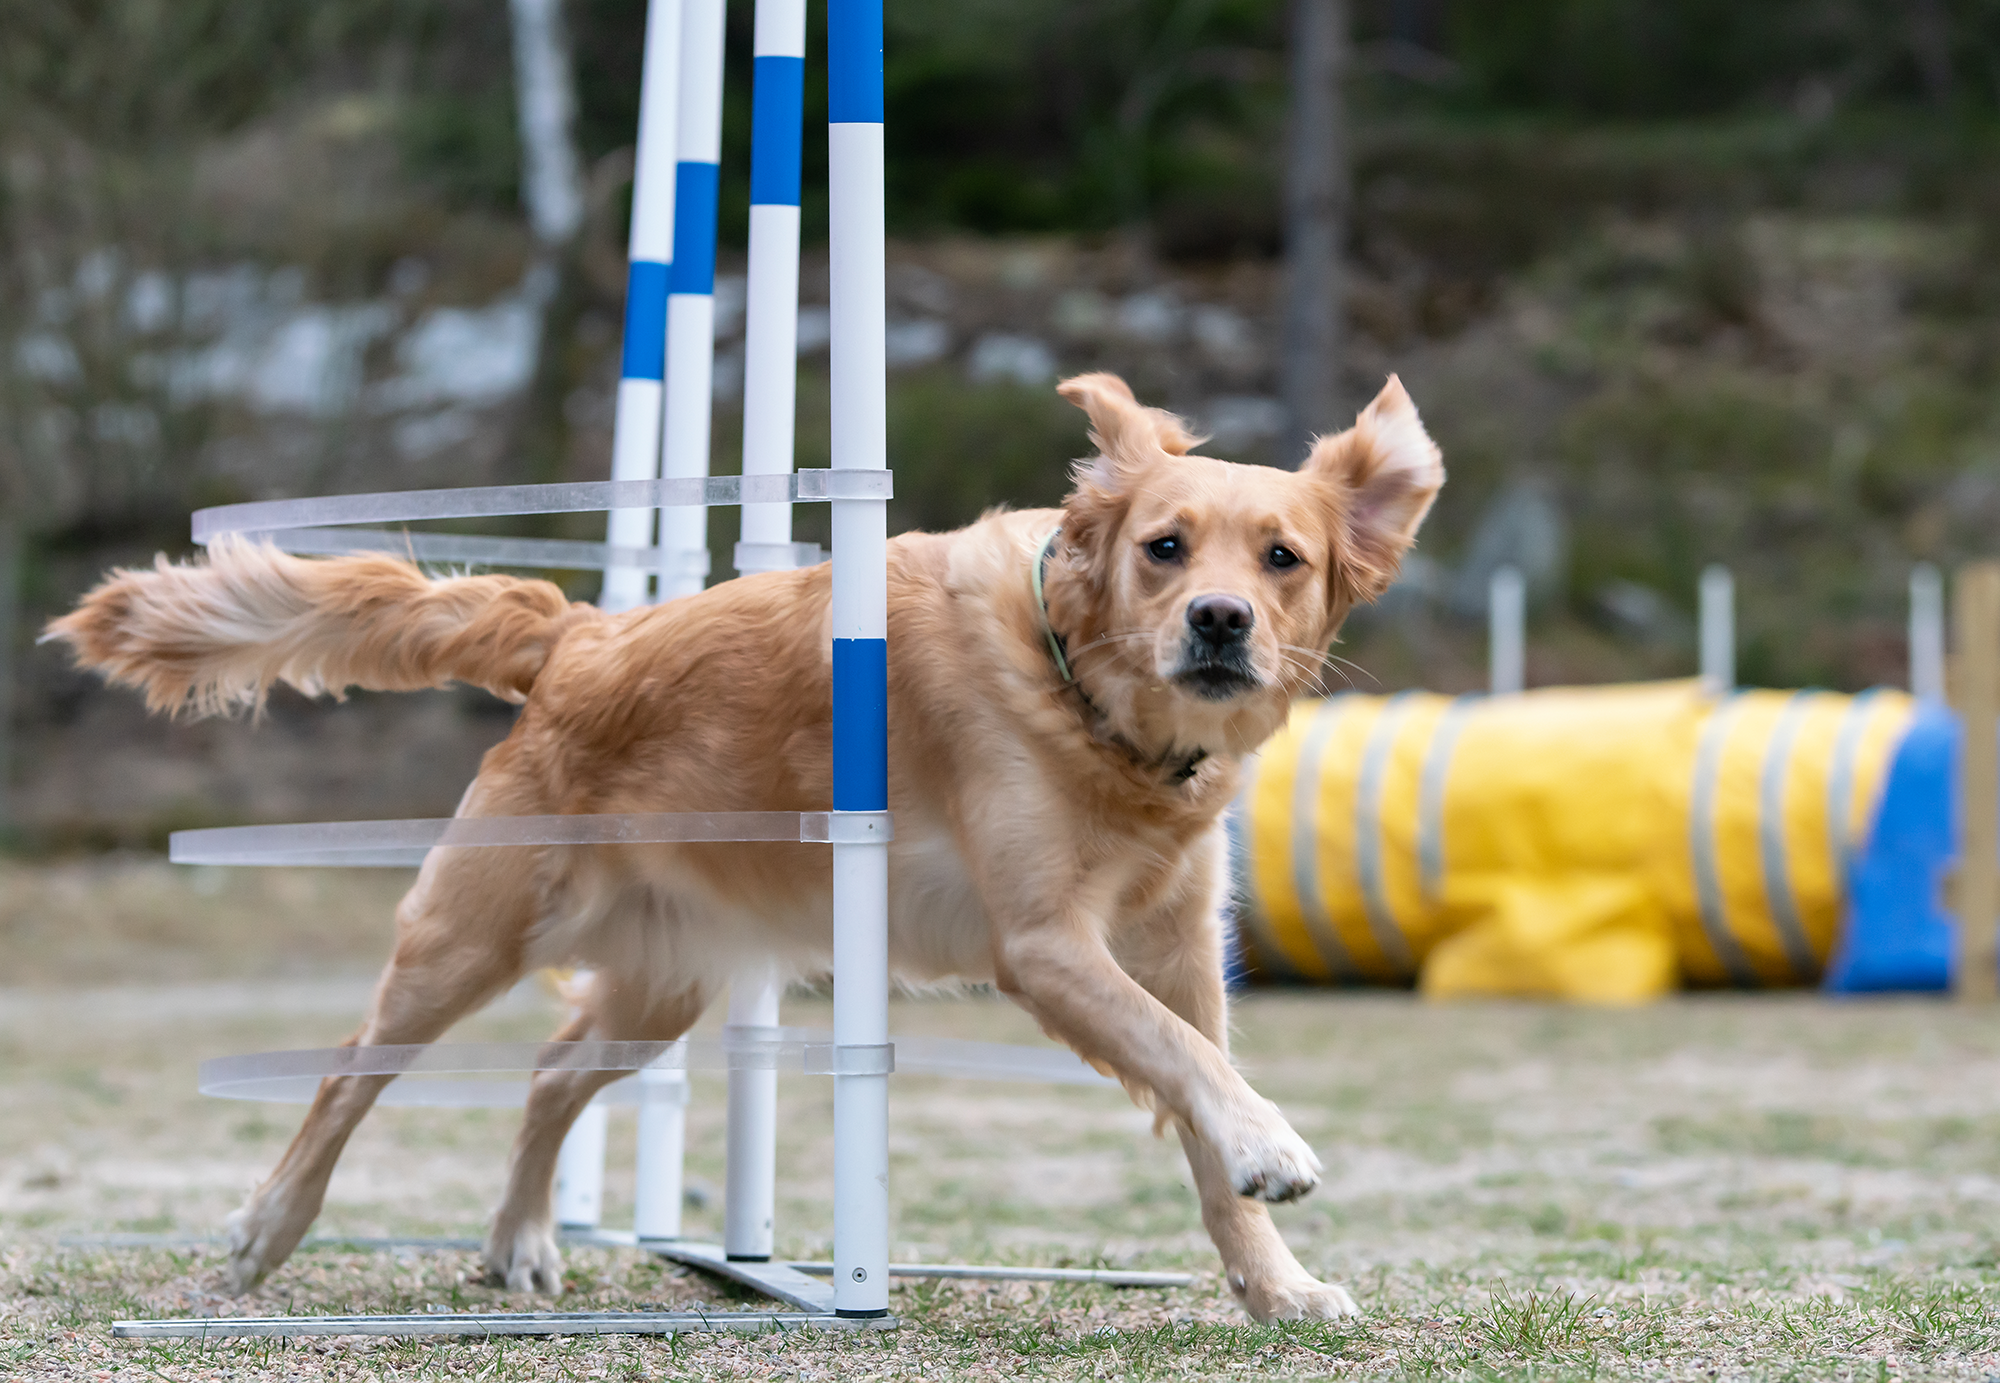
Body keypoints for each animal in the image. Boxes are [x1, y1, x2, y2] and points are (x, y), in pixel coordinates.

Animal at [47, 373, 1440, 1327]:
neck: (1092, 711)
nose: (1218, 621)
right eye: (1163, 547)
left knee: (552, 1071)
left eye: (1281, 558)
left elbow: (1199, 1091)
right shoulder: (1046, 946)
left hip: (662, 984)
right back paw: (268, 1231)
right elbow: (1188, 1069)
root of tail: (580, 640)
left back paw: (523, 1239)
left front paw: (1274, 1283)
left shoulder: (1177, 946)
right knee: (348, 1073)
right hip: (471, 935)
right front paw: (1274, 1152)